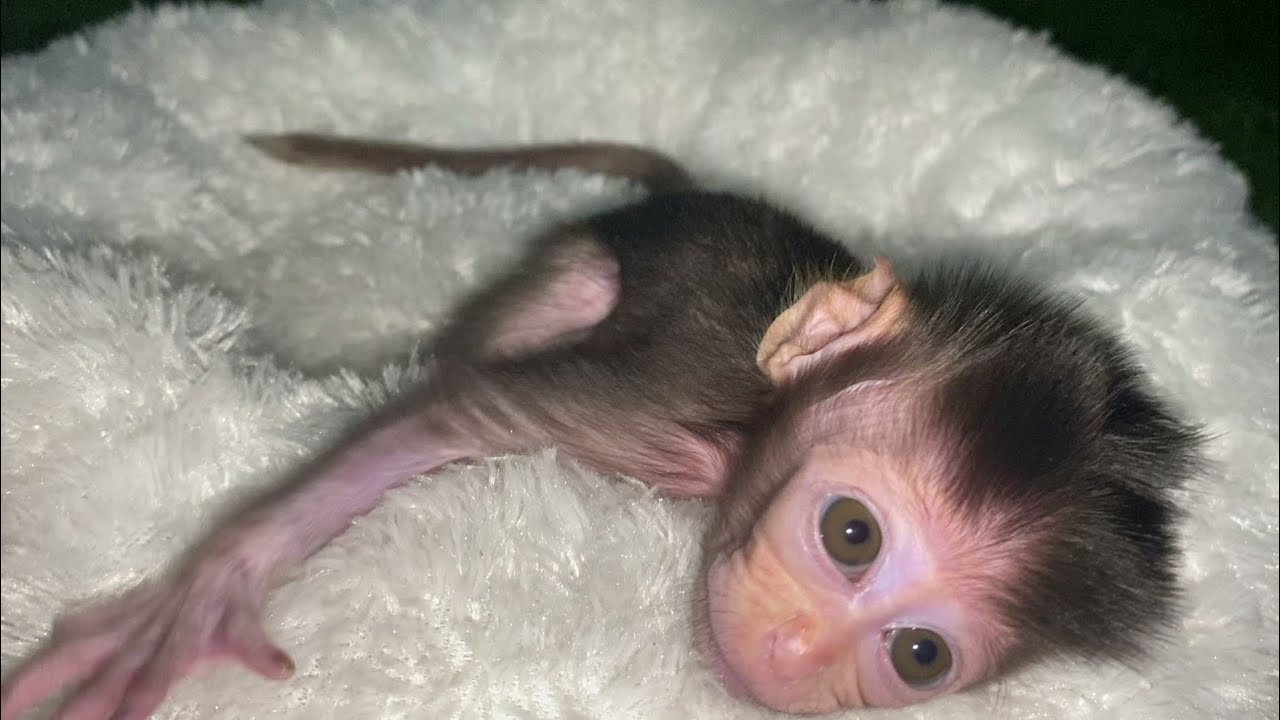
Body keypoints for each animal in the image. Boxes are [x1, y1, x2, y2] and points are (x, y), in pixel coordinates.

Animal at [0, 133, 1202, 718]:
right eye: (851, 535)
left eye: (918, 655)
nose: (795, 660)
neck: (745, 435)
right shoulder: (656, 404)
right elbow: (452, 415)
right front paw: (206, 592)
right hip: (583, 266)